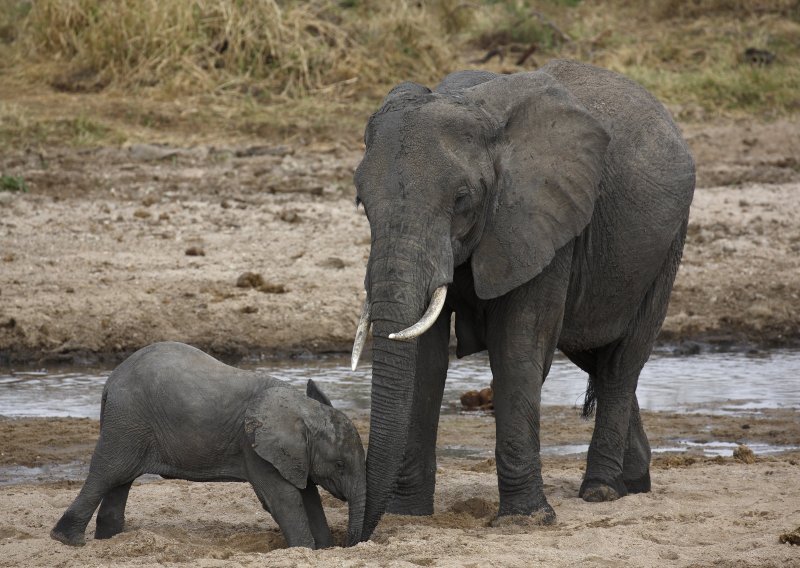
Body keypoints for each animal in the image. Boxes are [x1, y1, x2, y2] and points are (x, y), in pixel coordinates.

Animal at [48, 342, 364, 552]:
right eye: (339, 465)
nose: (349, 544)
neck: (304, 409)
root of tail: (110, 382)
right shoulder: (255, 449)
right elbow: (283, 499)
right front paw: (304, 550)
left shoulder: (294, 456)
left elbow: (308, 495)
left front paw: (324, 550)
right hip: (127, 422)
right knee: (109, 473)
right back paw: (67, 540)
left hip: (128, 426)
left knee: (120, 480)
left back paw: (111, 541)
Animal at [350, 60, 692, 540]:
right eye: (361, 201)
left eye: (461, 198)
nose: (355, 537)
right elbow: (424, 361)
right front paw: (407, 515)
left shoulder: (540, 216)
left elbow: (517, 349)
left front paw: (524, 520)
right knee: (593, 355)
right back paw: (634, 482)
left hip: (666, 246)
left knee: (622, 362)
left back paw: (602, 491)